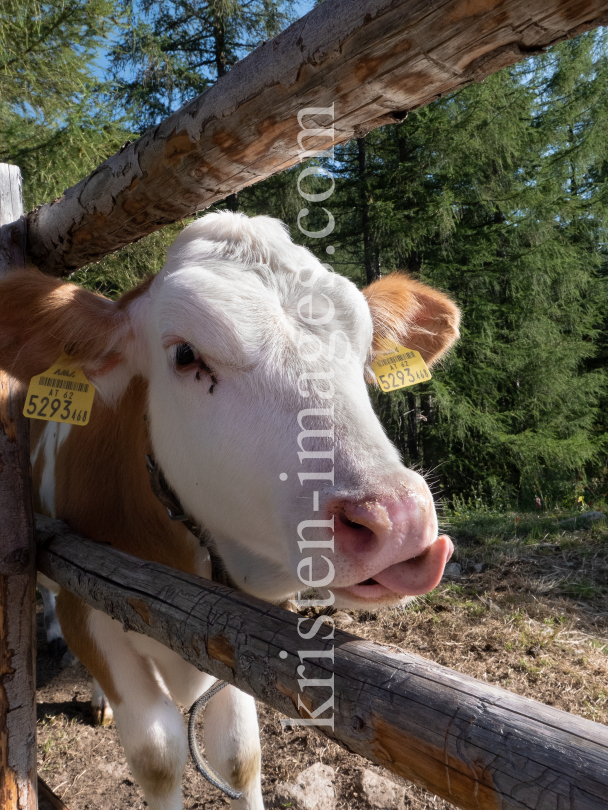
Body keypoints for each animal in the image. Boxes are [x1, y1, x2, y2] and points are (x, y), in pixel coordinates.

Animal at [0, 213, 458, 808]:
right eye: (185, 355)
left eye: (364, 360)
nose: (398, 520)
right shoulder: (87, 602)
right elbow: (157, 757)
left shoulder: (233, 627)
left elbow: (239, 755)